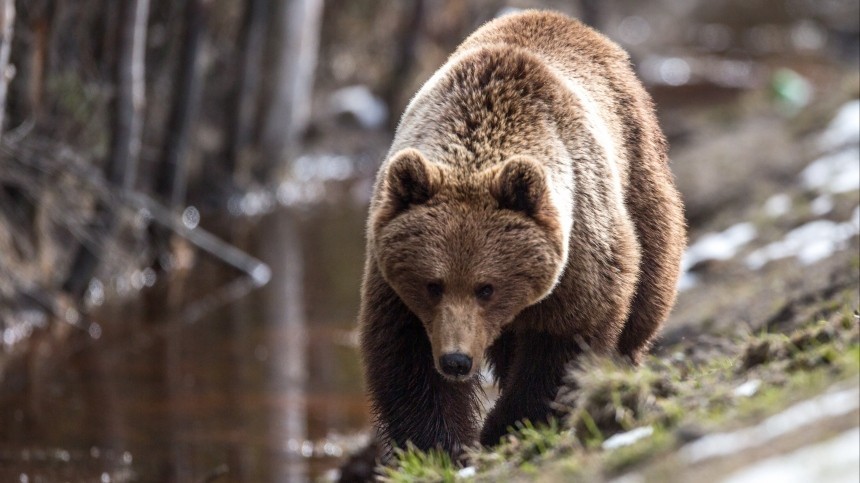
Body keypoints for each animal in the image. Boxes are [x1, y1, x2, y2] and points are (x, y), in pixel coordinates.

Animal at [356, 9, 684, 460]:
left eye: (486, 287)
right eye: (433, 284)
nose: (456, 360)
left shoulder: (580, 245)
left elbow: (564, 340)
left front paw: (509, 424)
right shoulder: (393, 275)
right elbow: (405, 355)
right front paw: (442, 444)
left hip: (639, 172)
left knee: (647, 289)